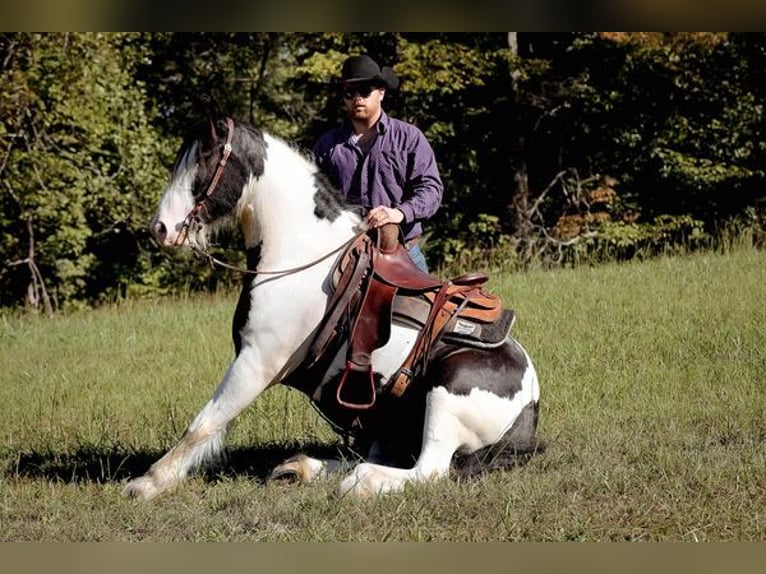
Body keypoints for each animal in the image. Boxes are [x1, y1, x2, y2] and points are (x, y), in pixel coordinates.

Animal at [123, 115, 544, 502]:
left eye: (205, 160)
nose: (160, 228)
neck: (300, 256)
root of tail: (530, 406)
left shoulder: (257, 363)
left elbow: (204, 423)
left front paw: (150, 483)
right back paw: (302, 467)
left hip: (446, 391)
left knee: (429, 470)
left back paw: (361, 481)